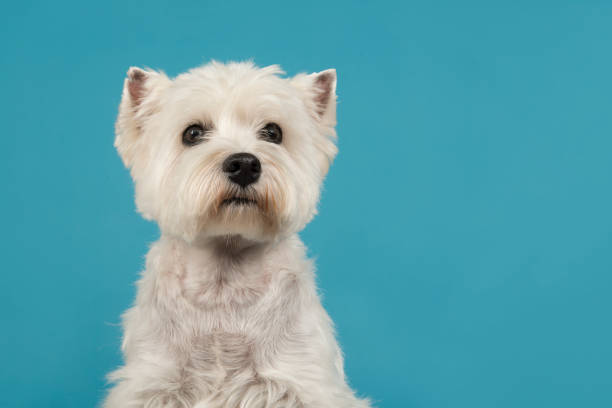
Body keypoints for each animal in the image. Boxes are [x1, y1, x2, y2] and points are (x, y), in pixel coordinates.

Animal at [103, 60, 370, 408]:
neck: (224, 281)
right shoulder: (154, 381)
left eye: (273, 132)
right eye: (192, 133)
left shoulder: (301, 379)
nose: (244, 164)